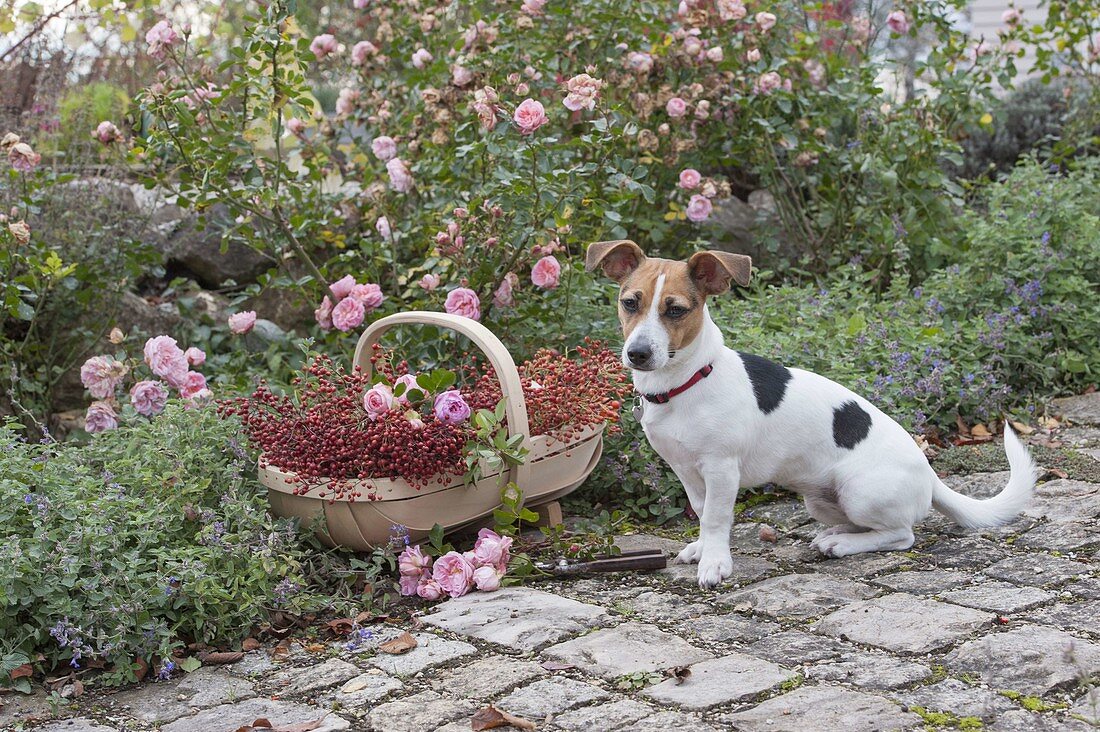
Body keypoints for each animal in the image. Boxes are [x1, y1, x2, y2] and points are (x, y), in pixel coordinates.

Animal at [585, 239, 1038, 590]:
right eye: (630, 303)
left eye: (676, 310)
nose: (637, 354)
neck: (687, 382)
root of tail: (929, 474)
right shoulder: (687, 471)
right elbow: (702, 511)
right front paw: (702, 548)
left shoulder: (721, 469)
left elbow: (716, 517)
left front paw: (715, 562)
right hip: (820, 500)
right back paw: (836, 534)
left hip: (860, 491)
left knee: (900, 534)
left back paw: (843, 544)